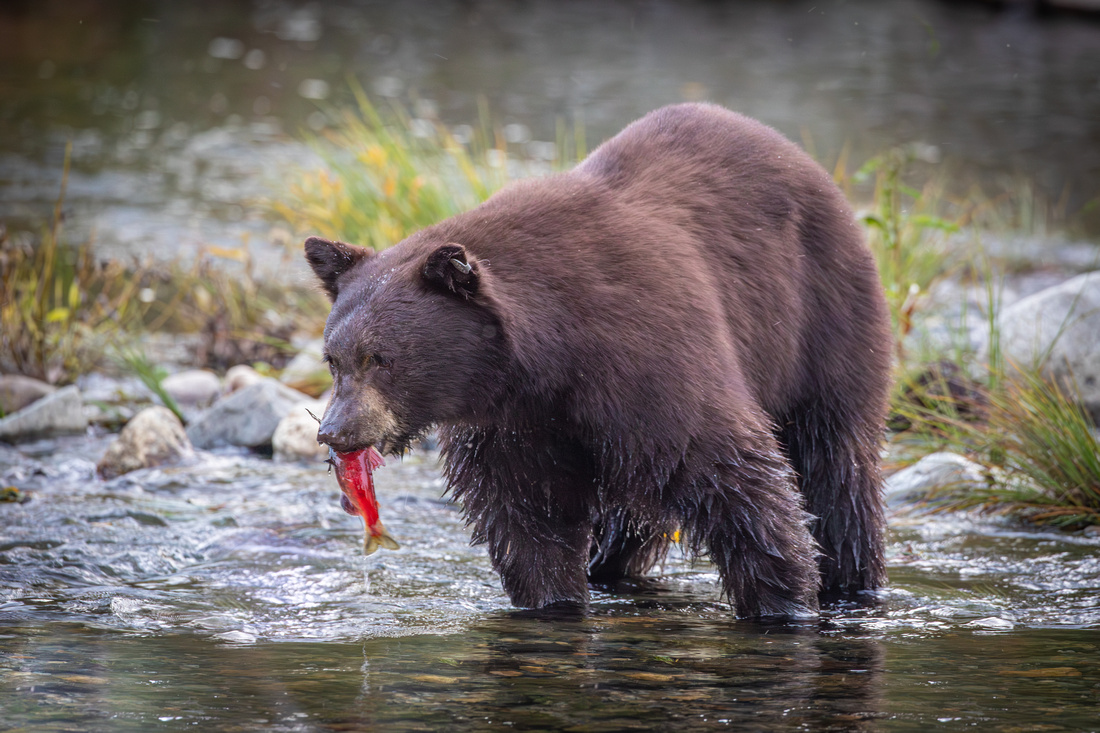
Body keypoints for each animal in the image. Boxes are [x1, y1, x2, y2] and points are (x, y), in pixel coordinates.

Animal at [303, 101, 893, 616]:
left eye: (382, 358)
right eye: (334, 359)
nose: (335, 431)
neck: (548, 359)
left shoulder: (652, 364)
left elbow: (734, 478)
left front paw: (783, 599)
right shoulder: (513, 425)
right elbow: (528, 519)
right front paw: (552, 598)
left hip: (823, 321)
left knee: (835, 463)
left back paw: (851, 579)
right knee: (630, 520)